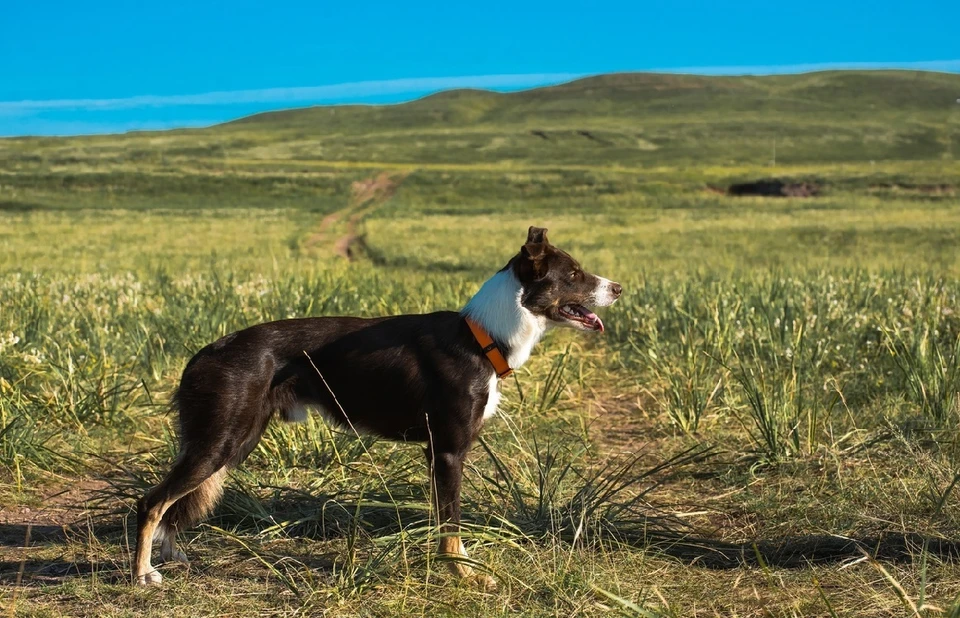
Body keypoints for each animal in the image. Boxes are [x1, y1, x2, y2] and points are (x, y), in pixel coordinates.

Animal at [133, 226, 624, 588]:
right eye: (574, 274)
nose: (619, 287)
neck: (481, 338)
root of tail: (205, 353)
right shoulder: (448, 453)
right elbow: (451, 526)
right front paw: (463, 575)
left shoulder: (438, 454)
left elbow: (445, 523)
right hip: (221, 442)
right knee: (152, 502)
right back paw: (143, 574)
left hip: (230, 442)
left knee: (174, 505)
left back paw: (172, 556)